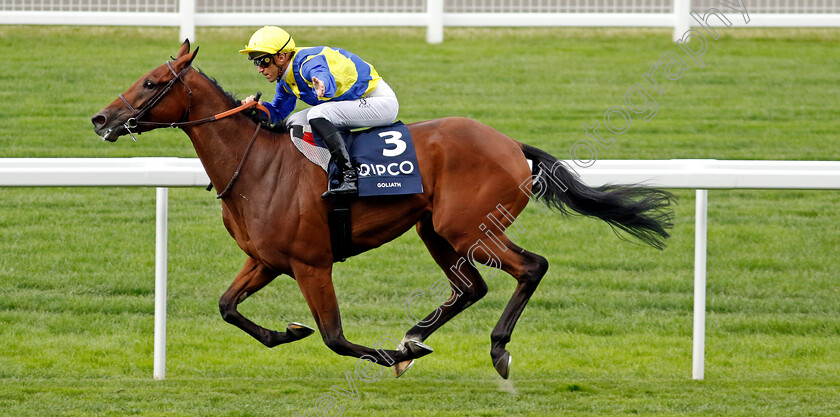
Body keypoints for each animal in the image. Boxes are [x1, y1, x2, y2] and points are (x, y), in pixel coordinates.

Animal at [88, 41, 672, 376]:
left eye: (151, 82)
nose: (100, 119)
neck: (257, 164)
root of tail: (511, 145)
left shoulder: (311, 263)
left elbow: (335, 338)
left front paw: (386, 357)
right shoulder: (266, 260)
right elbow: (228, 307)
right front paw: (287, 333)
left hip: (469, 229)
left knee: (531, 267)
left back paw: (494, 349)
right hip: (436, 230)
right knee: (472, 288)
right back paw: (414, 336)